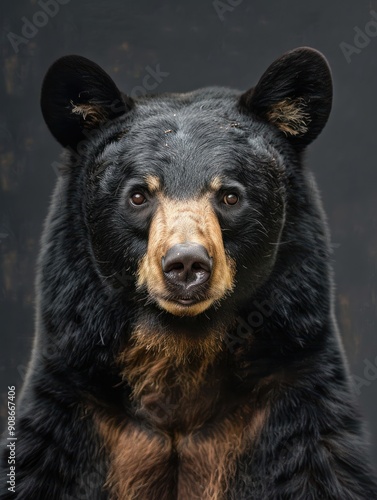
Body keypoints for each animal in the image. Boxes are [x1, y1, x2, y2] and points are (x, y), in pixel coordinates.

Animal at [0, 47, 376, 500]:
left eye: (230, 195)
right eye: (138, 195)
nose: (186, 263)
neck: (180, 357)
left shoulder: (296, 408)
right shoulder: (70, 417)